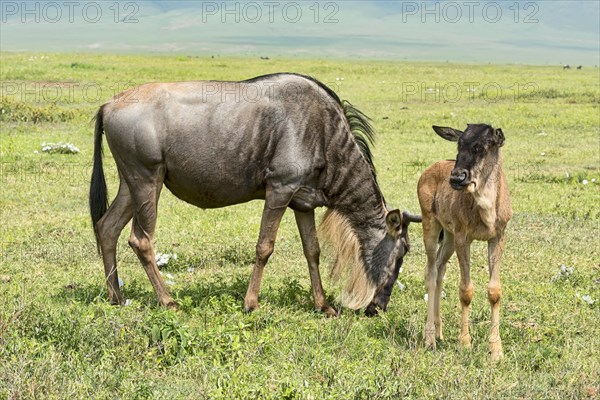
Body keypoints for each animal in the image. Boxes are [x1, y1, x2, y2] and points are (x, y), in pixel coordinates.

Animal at [418, 123, 510, 360]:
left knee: (440, 267)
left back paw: (439, 332)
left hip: (449, 237)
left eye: (482, 147)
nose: (457, 178)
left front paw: (496, 349)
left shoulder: (498, 236)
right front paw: (464, 343)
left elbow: (495, 291)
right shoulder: (463, 237)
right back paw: (429, 338)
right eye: (459, 144)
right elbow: (466, 291)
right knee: (431, 272)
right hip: (430, 223)